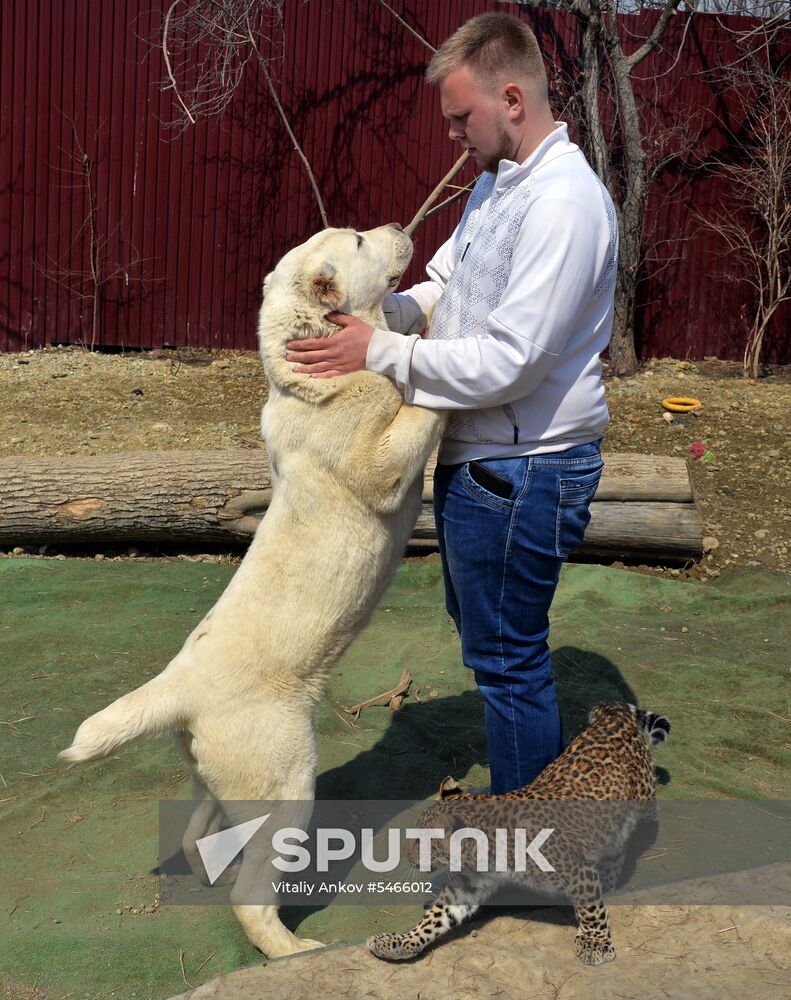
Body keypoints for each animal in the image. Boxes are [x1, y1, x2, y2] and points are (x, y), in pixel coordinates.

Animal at [62, 223, 446, 956]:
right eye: (360, 240)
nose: (399, 228)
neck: (311, 361)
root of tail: (178, 687)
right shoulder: (374, 459)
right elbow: (412, 414)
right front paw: (438, 334)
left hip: (219, 775)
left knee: (198, 828)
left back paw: (209, 866)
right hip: (283, 779)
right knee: (253, 891)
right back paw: (290, 948)